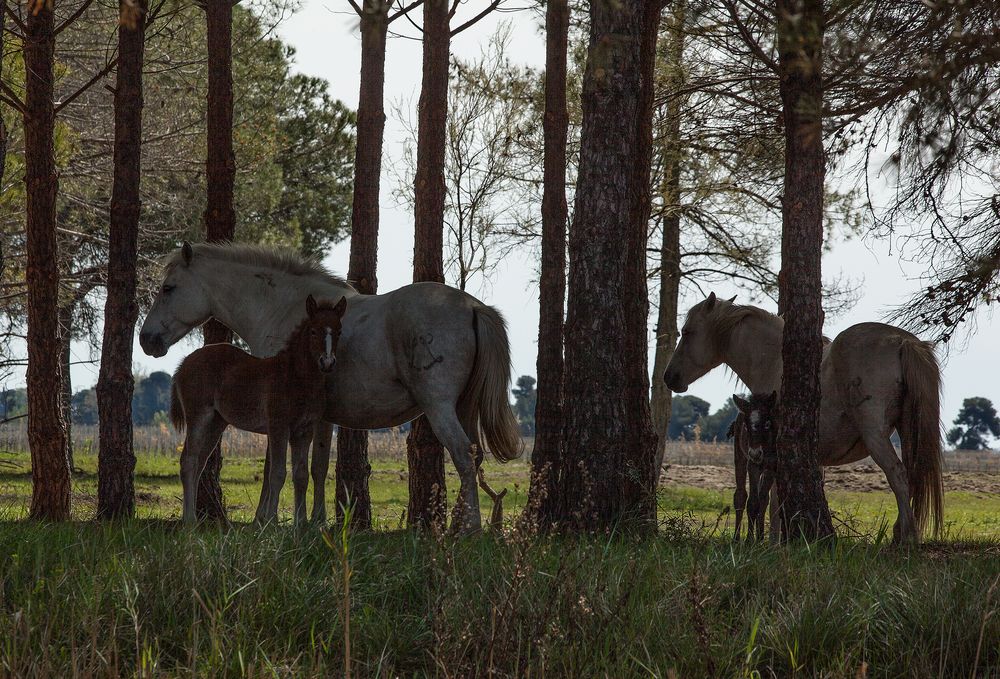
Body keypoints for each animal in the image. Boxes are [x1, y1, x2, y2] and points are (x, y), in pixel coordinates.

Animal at [170, 294, 346, 524]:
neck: (295, 376)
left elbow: (301, 474)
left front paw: (300, 524)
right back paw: (190, 520)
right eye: (314, 331)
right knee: (189, 461)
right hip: (198, 416)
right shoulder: (279, 427)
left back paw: (191, 518)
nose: (327, 362)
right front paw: (270, 521)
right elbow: (277, 473)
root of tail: (184, 363)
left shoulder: (304, 430)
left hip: (216, 422)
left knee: (199, 463)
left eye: (339, 331)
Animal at [732, 394, 776, 540]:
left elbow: (761, 500)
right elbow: (752, 503)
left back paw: (760, 537)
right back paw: (736, 538)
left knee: (763, 498)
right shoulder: (753, 466)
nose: (755, 453)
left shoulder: (773, 467)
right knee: (740, 496)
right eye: (746, 426)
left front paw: (758, 538)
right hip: (739, 454)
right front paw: (749, 540)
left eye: (767, 424)